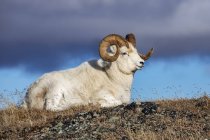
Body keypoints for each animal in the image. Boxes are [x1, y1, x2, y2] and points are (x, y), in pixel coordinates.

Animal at [22, 33, 153, 110]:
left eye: (136, 51)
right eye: (124, 53)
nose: (141, 63)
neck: (111, 78)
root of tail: (29, 93)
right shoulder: (103, 95)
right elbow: (117, 102)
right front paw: (95, 104)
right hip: (56, 90)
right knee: (51, 108)